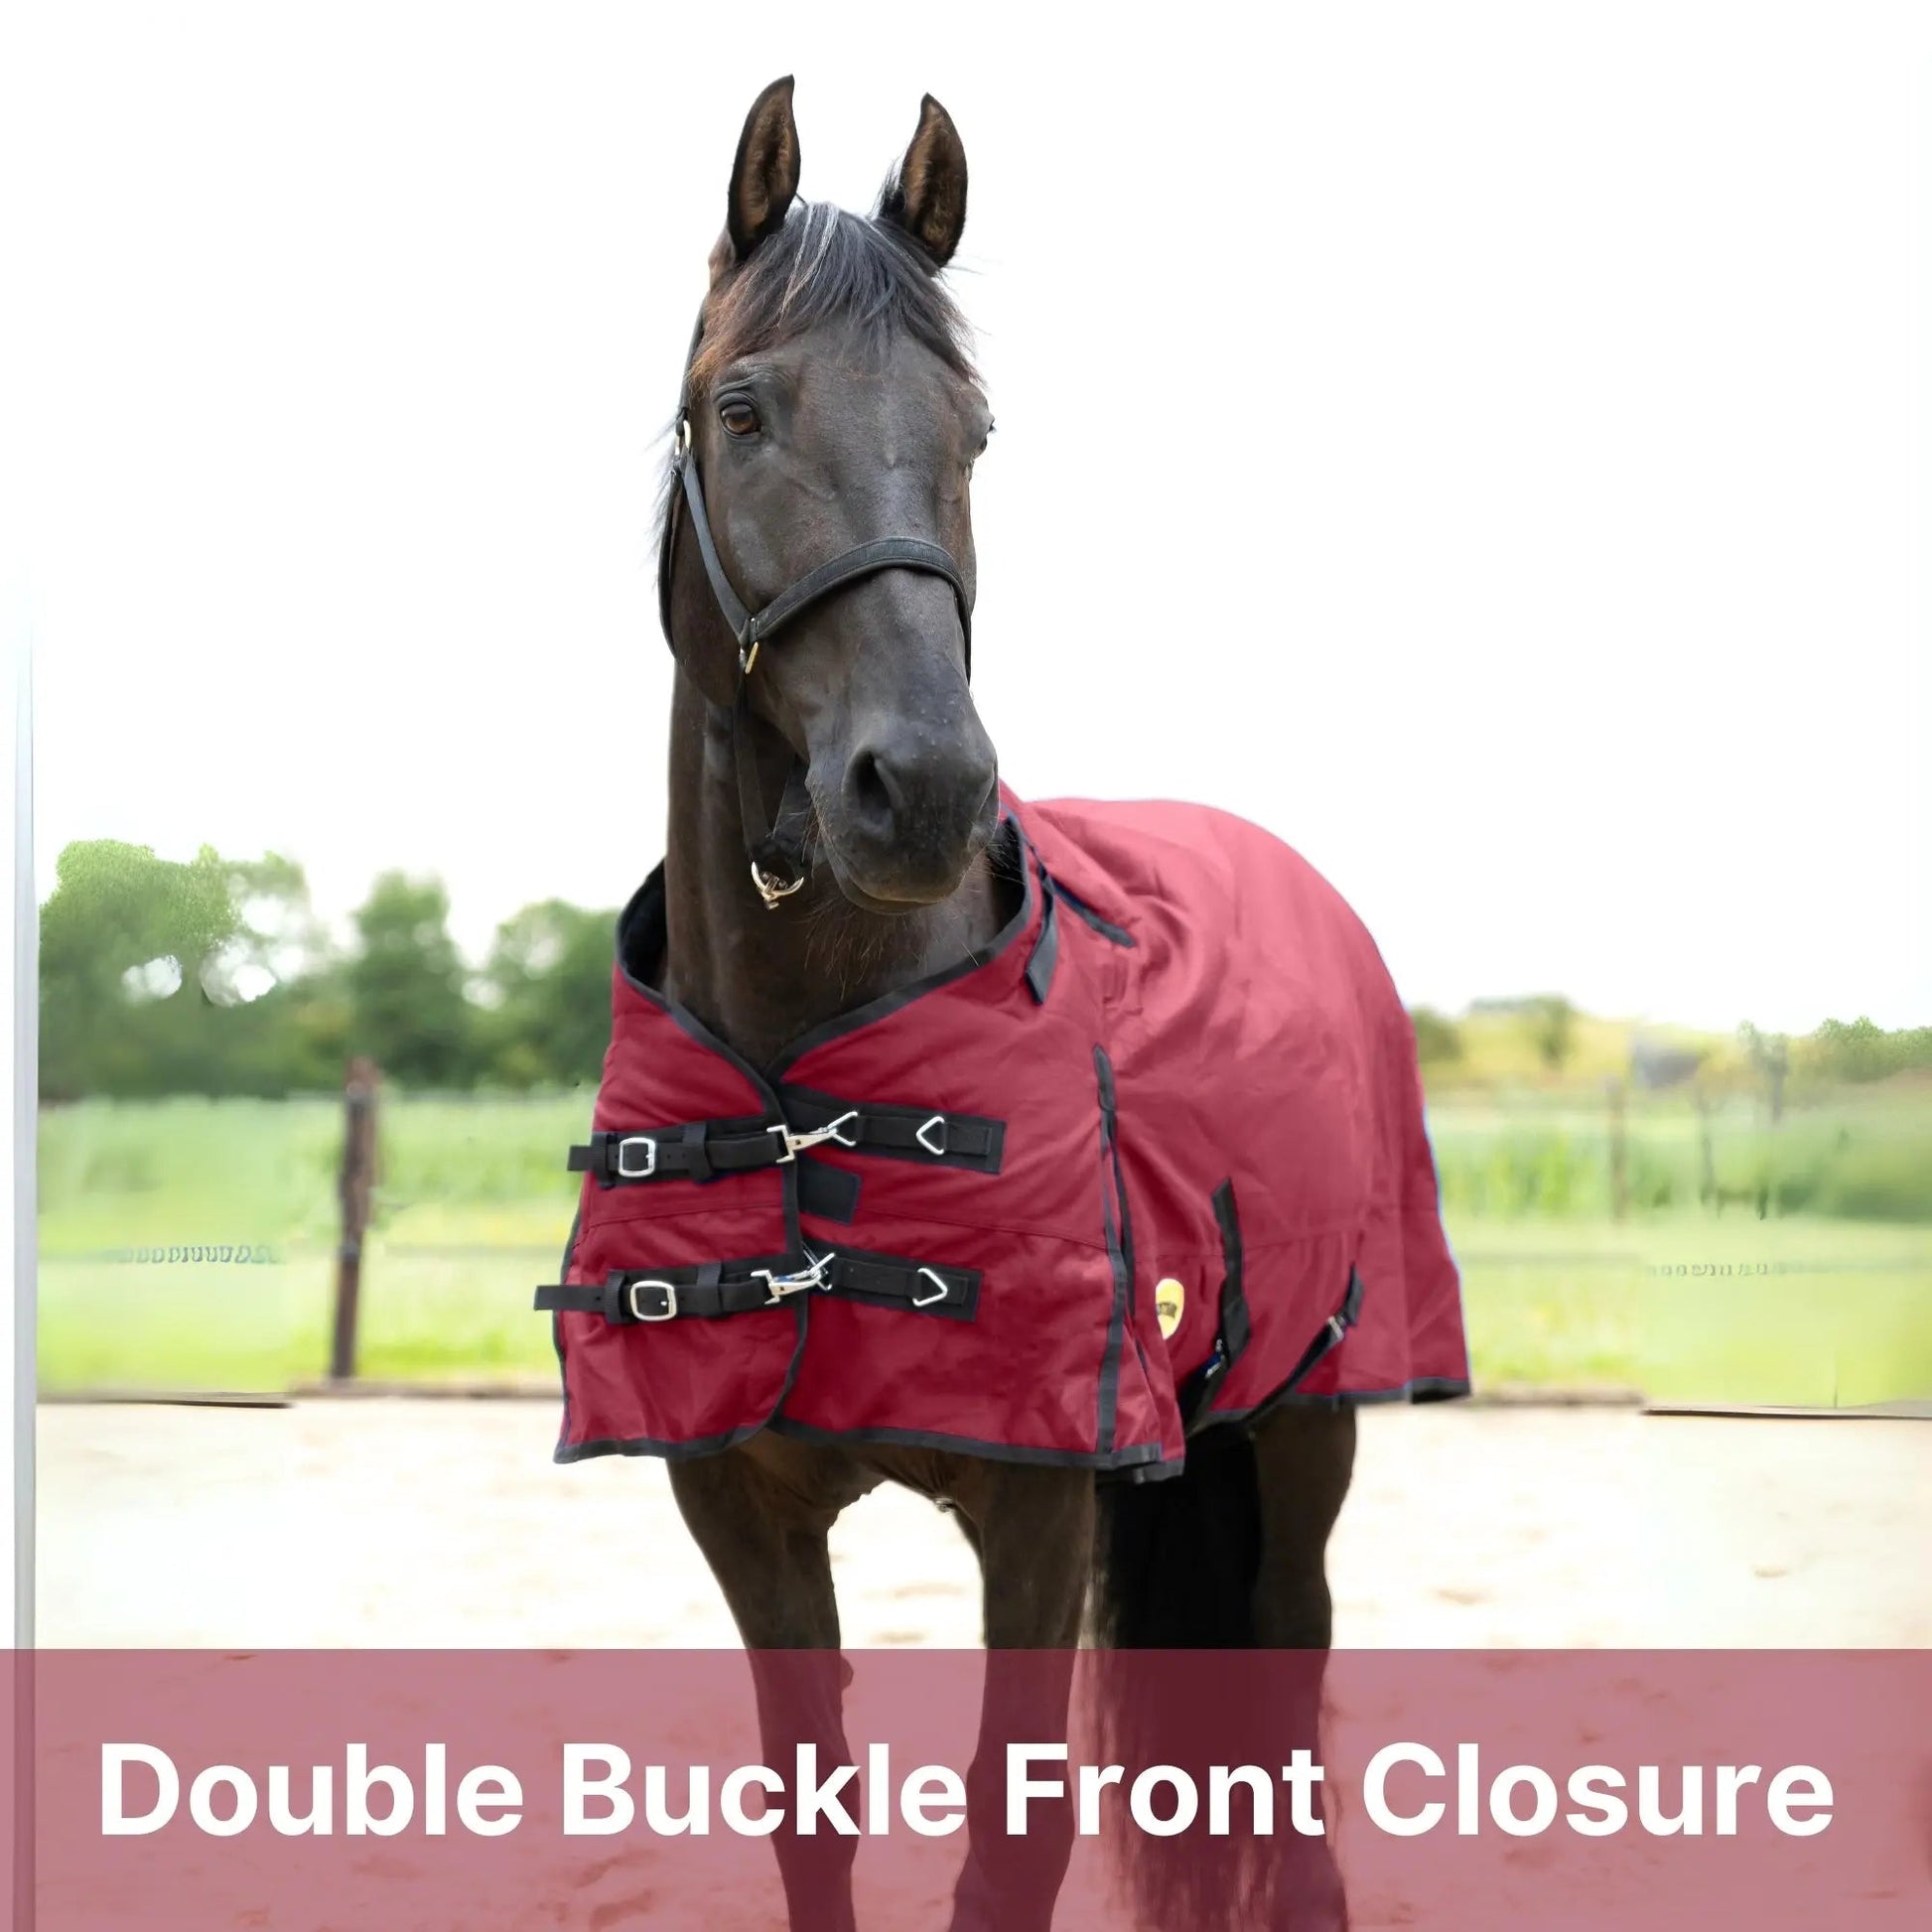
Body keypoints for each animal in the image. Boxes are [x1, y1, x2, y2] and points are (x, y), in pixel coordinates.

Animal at [543, 75, 1465, 1931]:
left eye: (973, 429)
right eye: (742, 407)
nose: (924, 791)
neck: (810, 1058)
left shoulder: (1041, 1516)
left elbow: (1007, 1838)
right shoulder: (740, 1516)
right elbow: (811, 1818)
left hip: (1307, 1433)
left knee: (1288, 1704)